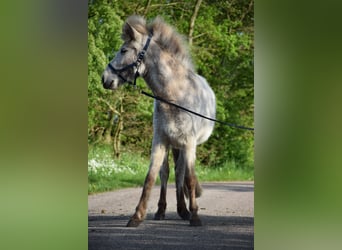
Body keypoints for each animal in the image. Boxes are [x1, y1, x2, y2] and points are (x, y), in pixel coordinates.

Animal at [100, 15, 216, 227]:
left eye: (124, 50)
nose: (105, 79)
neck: (174, 96)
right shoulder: (160, 141)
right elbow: (151, 177)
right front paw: (137, 216)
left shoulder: (189, 144)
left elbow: (190, 179)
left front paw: (195, 216)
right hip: (172, 144)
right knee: (169, 173)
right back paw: (166, 210)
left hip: (181, 146)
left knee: (181, 173)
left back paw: (185, 211)